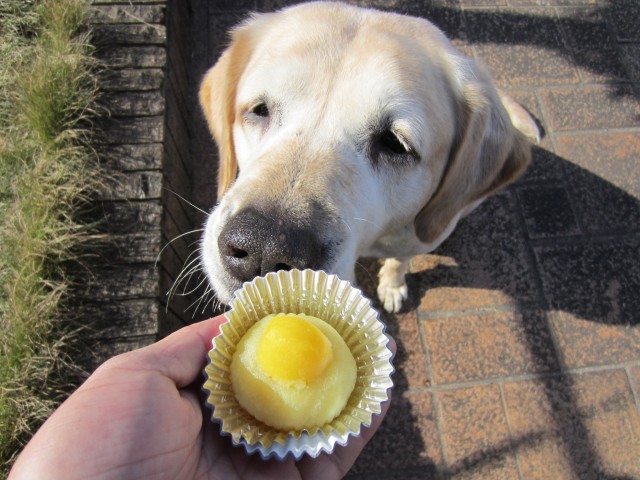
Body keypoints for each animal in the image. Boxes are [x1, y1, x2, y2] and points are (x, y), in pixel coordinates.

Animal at [198, 1, 536, 314]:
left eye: (394, 143)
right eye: (259, 109)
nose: (264, 248)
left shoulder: (413, 242)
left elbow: (399, 262)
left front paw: (392, 286)